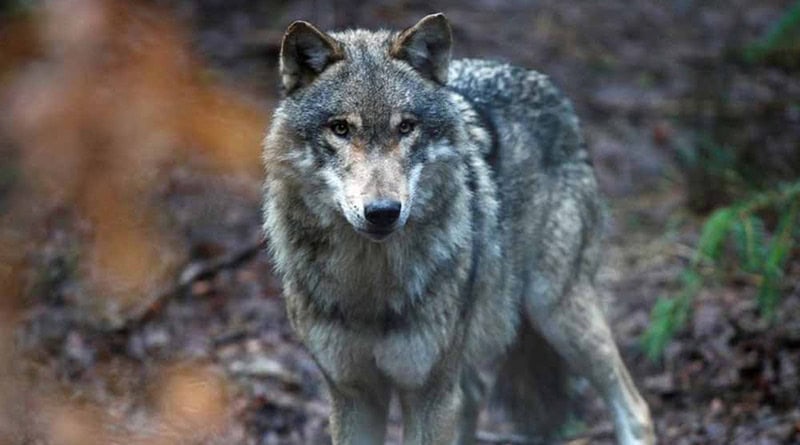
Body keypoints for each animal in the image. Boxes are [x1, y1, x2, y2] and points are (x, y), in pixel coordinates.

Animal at [261, 13, 654, 445]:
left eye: (406, 127)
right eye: (341, 128)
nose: (383, 212)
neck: (370, 284)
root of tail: (545, 83)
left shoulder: (427, 390)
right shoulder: (352, 391)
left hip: (556, 310)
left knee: (635, 408)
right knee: (476, 392)